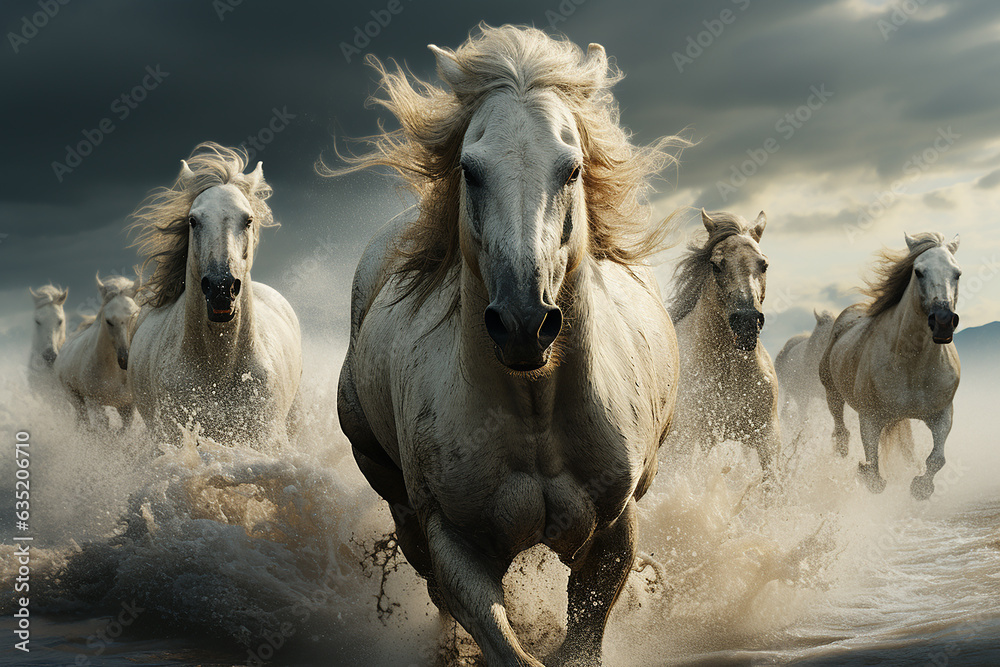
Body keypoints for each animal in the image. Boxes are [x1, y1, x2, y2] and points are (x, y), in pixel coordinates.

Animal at [54, 273, 139, 429]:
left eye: (134, 315)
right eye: (109, 321)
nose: (124, 360)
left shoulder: (128, 405)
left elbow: (123, 430)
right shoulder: (94, 402)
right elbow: (103, 426)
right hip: (75, 397)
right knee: (83, 419)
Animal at [330, 25, 683, 666]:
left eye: (572, 169)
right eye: (470, 169)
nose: (523, 321)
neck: (534, 411)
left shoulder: (613, 533)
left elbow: (582, 638)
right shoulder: (453, 542)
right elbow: (499, 638)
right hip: (400, 506)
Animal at [819, 232, 961, 499]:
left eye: (957, 273)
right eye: (918, 271)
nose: (943, 321)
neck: (912, 365)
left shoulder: (942, 413)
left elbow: (938, 458)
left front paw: (920, 487)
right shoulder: (870, 417)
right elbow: (873, 469)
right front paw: (865, 473)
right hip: (831, 389)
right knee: (839, 421)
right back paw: (841, 448)